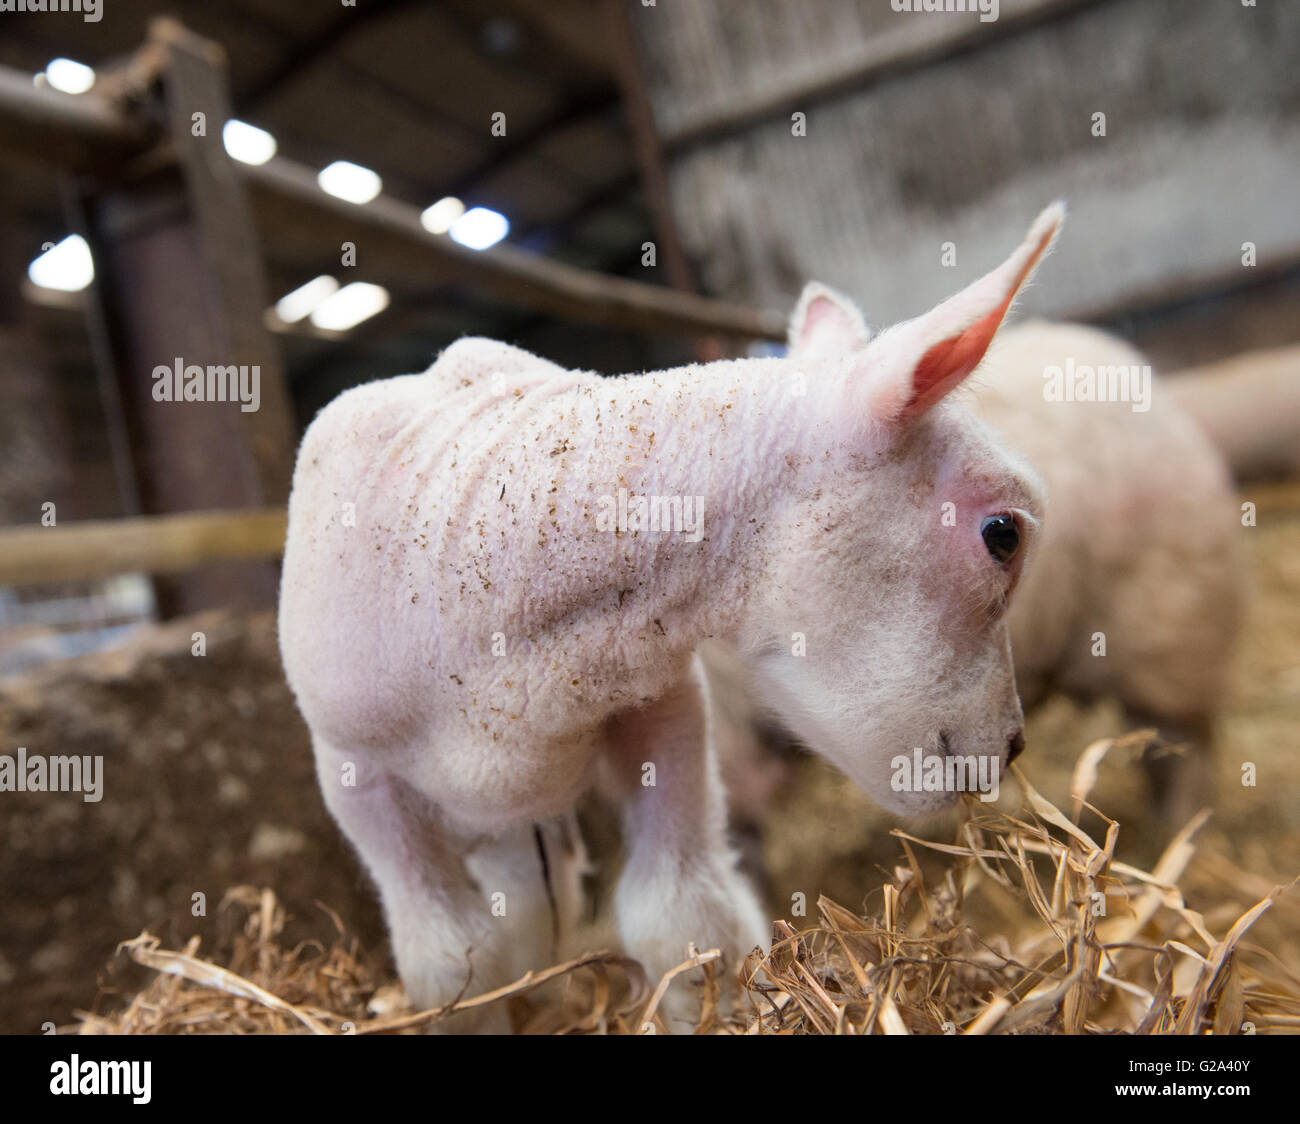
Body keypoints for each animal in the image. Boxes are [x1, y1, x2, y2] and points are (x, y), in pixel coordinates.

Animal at [279, 201, 1060, 1023]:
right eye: (1003, 535)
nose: (1013, 746)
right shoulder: (355, 773)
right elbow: (444, 961)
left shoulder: (661, 706)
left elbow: (682, 916)